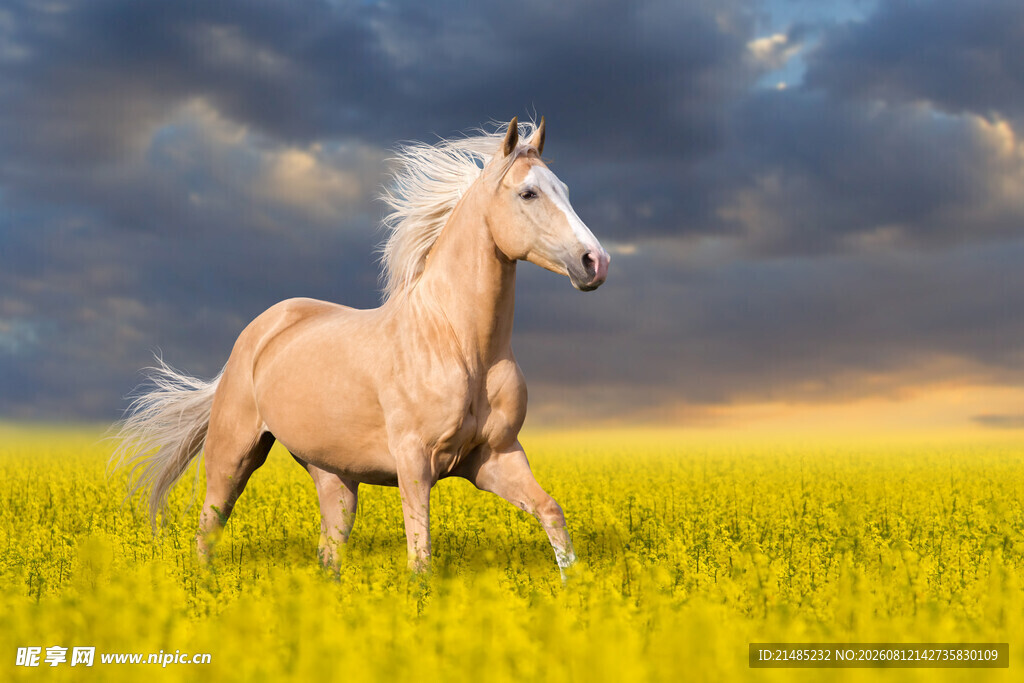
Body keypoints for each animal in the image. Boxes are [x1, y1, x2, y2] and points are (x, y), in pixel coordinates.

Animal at [111, 117, 610, 576]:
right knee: (208, 527)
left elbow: (552, 513)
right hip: (232, 455)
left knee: (329, 549)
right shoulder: (415, 462)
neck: (459, 345)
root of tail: (258, 333)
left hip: (334, 475)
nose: (595, 262)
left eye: (564, 189)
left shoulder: (495, 457)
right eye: (528, 194)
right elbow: (420, 557)